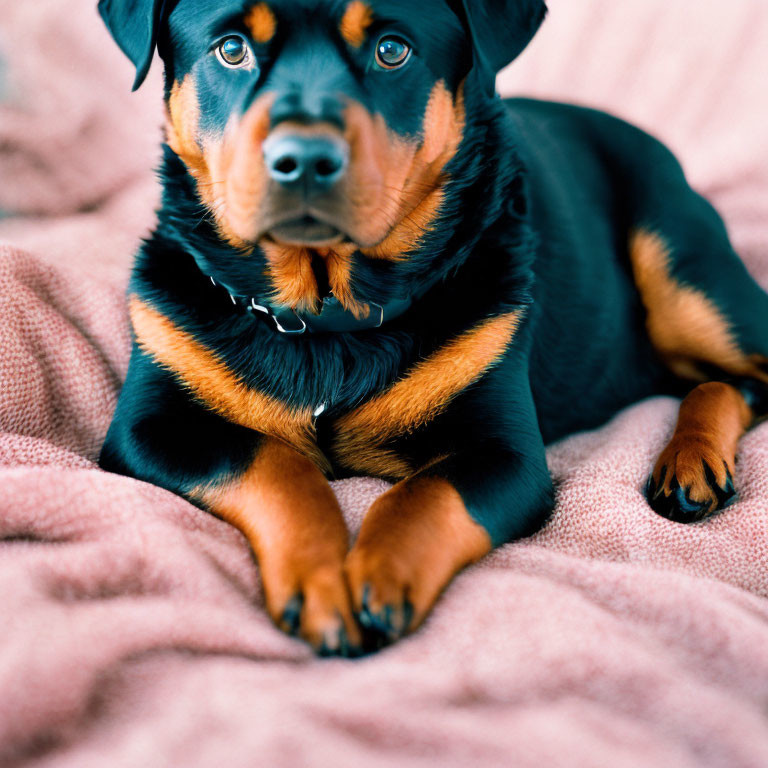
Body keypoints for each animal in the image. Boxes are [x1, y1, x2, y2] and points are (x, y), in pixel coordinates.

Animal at [97, 0, 768, 656]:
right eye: (231, 49)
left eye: (391, 50)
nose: (306, 160)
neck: (326, 316)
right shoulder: (150, 424)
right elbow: (272, 461)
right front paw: (322, 578)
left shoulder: (504, 451)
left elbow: (423, 495)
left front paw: (379, 575)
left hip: (676, 264)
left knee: (738, 376)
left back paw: (692, 462)